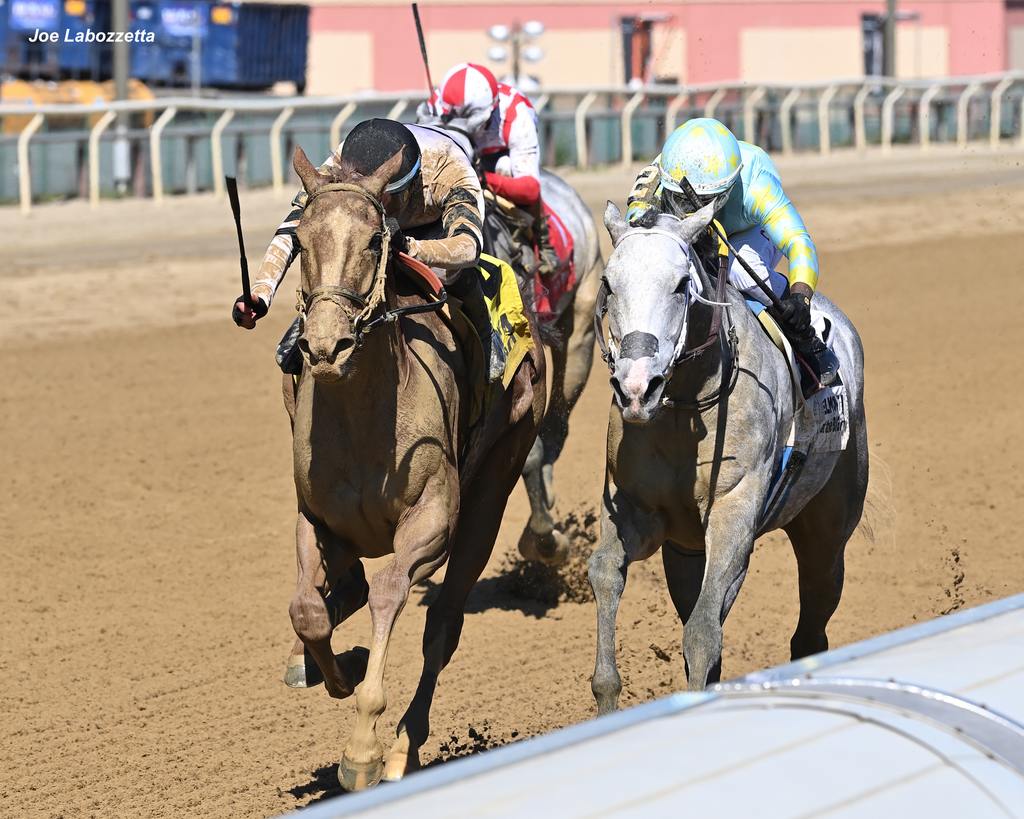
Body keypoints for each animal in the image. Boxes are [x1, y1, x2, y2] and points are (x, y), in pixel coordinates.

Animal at [280, 145, 544, 786]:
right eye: (299, 239)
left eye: (377, 240)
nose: (326, 348)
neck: (364, 419)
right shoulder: (313, 516)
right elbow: (308, 611)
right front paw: (338, 665)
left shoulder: (432, 520)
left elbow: (389, 594)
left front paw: (363, 748)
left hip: (491, 491)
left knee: (442, 625)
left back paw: (404, 747)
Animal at [589, 202, 868, 708]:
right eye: (608, 283)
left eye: (681, 284)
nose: (637, 388)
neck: (684, 406)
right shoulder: (636, 508)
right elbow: (603, 572)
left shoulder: (734, 511)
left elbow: (702, 632)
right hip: (685, 551)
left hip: (827, 532)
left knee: (810, 627)